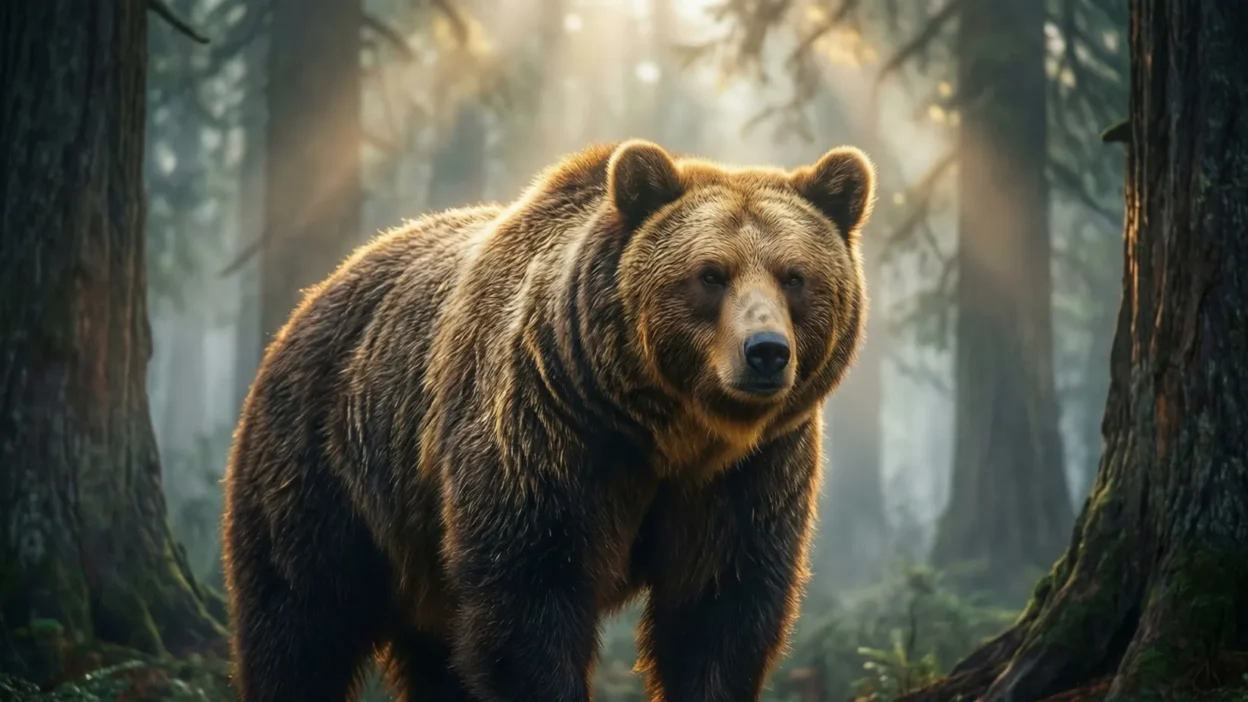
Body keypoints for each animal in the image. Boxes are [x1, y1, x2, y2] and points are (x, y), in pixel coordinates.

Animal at [221, 139, 876, 702]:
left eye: (795, 276)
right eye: (710, 274)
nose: (765, 351)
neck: (670, 432)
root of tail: (313, 297)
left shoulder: (751, 472)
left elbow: (721, 610)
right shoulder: (549, 429)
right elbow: (530, 594)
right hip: (326, 469)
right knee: (300, 623)